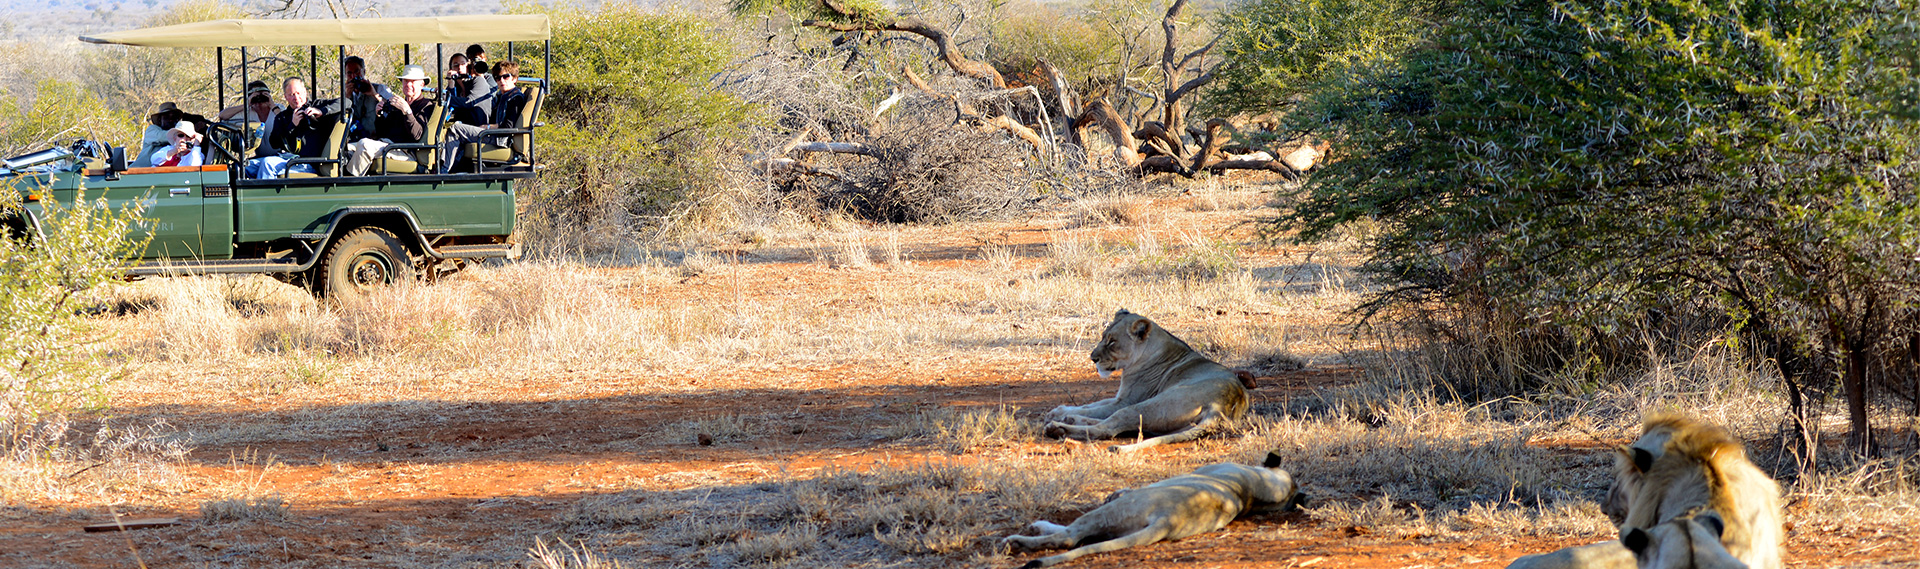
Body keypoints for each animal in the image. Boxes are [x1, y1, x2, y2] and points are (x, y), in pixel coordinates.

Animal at [1044, 309, 1251, 451]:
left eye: (1112, 342)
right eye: (1103, 337)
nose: (1092, 358)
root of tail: (1223, 405)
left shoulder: (1126, 401)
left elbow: (1097, 409)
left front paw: (1056, 415)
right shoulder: (1120, 397)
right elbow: (1092, 405)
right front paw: (1059, 411)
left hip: (1150, 405)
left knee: (1107, 427)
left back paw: (1058, 428)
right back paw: (1068, 419)